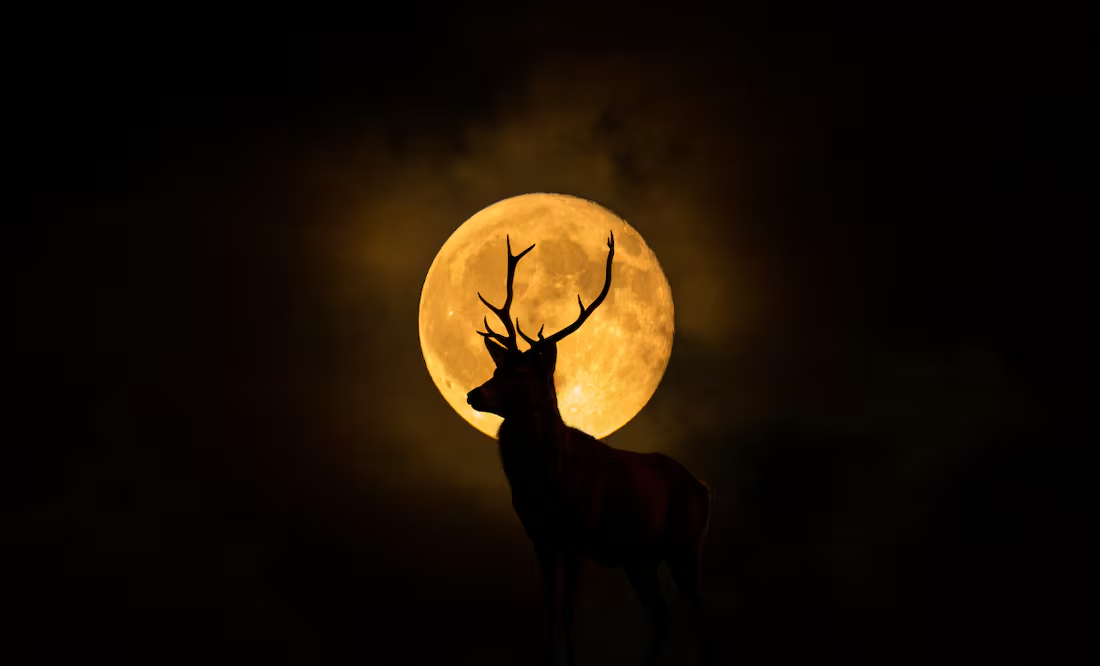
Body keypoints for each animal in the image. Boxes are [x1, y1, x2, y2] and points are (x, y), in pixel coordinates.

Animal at [466, 231, 712, 666]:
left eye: (523, 373)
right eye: (496, 368)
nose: (473, 394)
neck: (547, 482)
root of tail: (703, 488)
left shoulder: (579, 533)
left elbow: (567, 613)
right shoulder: (540, 537)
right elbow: (550, 613)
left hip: (685, 543)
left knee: (700, 613)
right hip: (639, 557)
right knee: (662, 614)